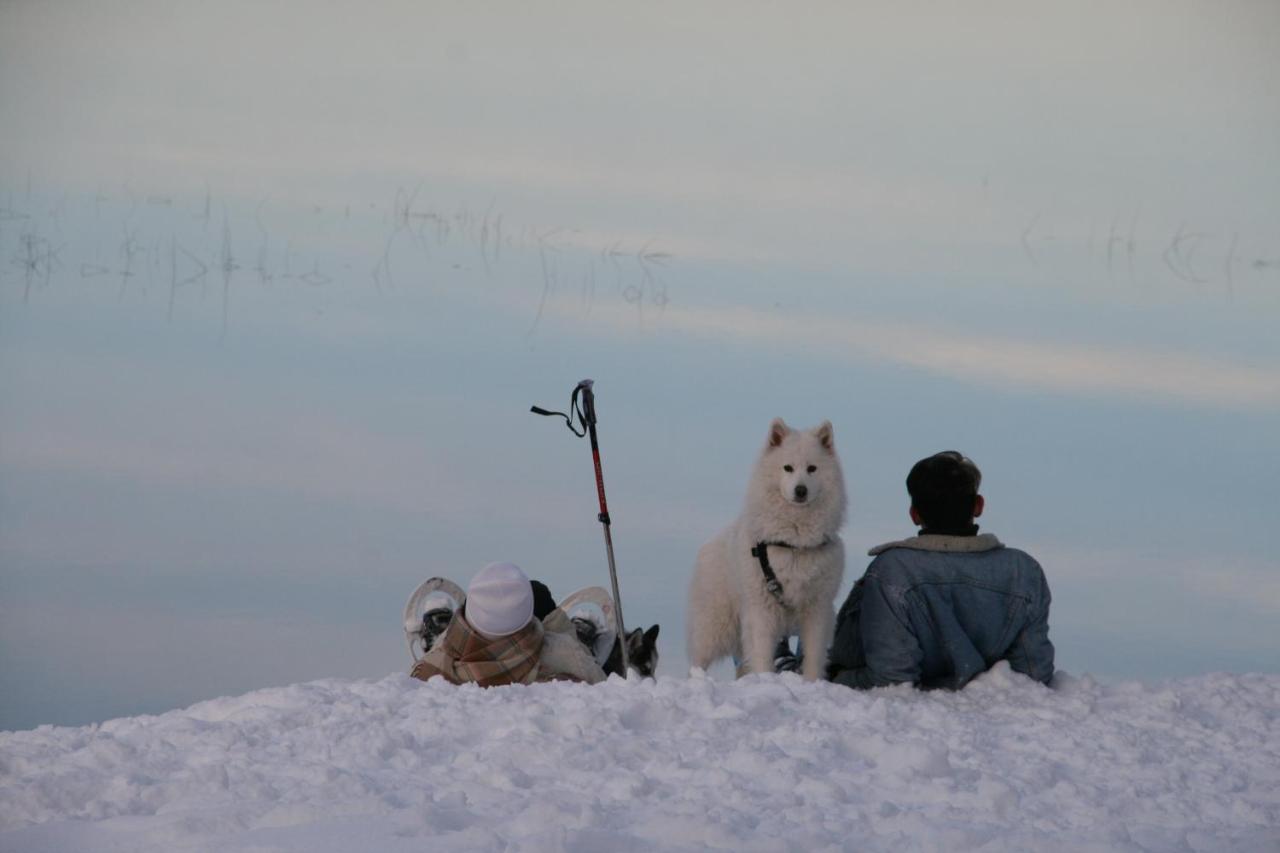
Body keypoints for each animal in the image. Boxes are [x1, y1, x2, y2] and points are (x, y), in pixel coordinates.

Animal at [687, 418, 846, 680]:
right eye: (788, 468)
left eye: (812, 468)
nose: (801, 490)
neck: (794, 542)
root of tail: (708, 544)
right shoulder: (761, 609)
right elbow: (762, 654)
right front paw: (765, 680)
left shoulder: (817, 610)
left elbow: (813, 657)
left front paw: (811, 683)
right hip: (712, 627)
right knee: (697, 661)